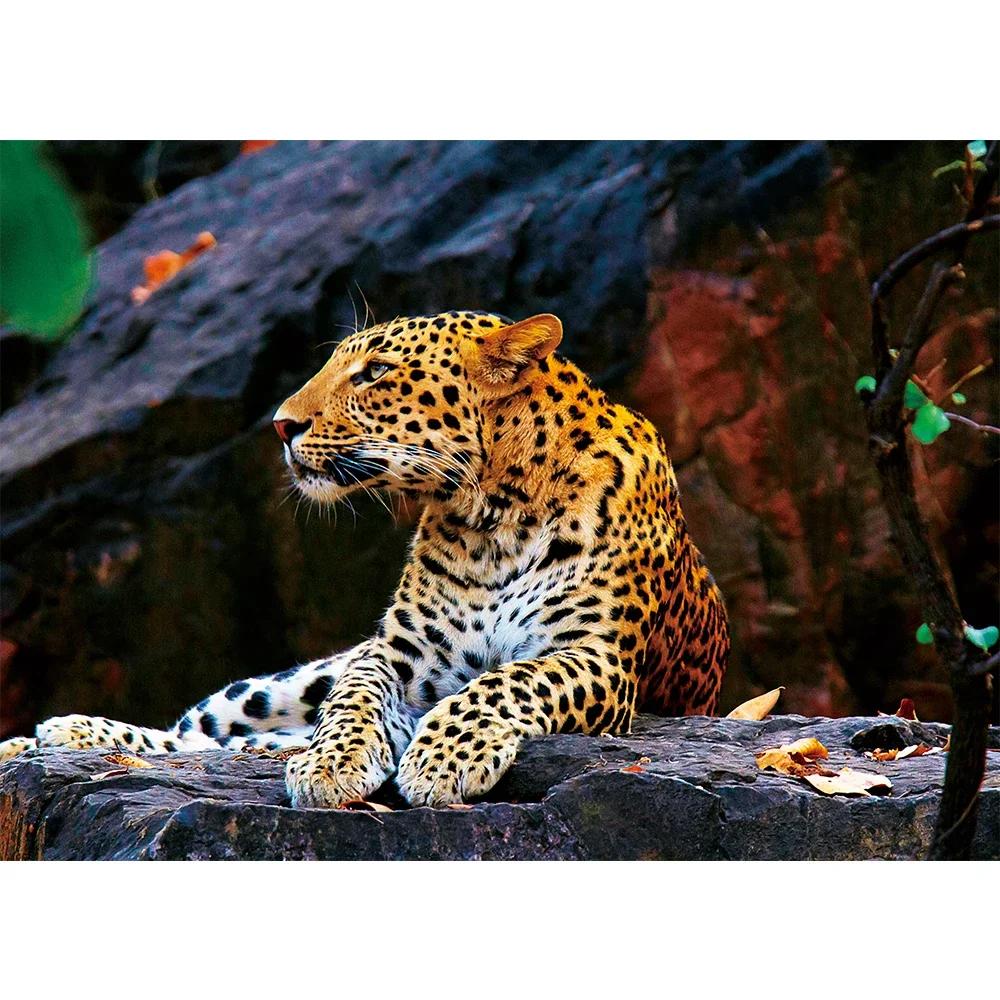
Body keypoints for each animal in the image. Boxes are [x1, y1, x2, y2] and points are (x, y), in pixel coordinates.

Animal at [0, 310, 729, 807]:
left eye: (375, 372)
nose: (280, 424)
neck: (494, 514)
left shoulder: (596, 656)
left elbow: (507, 681)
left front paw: (441, 760)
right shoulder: (397, 653)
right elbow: (353, 699)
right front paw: (333, 764)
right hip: (276, 686)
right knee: (205, 731)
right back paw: (57, 734)